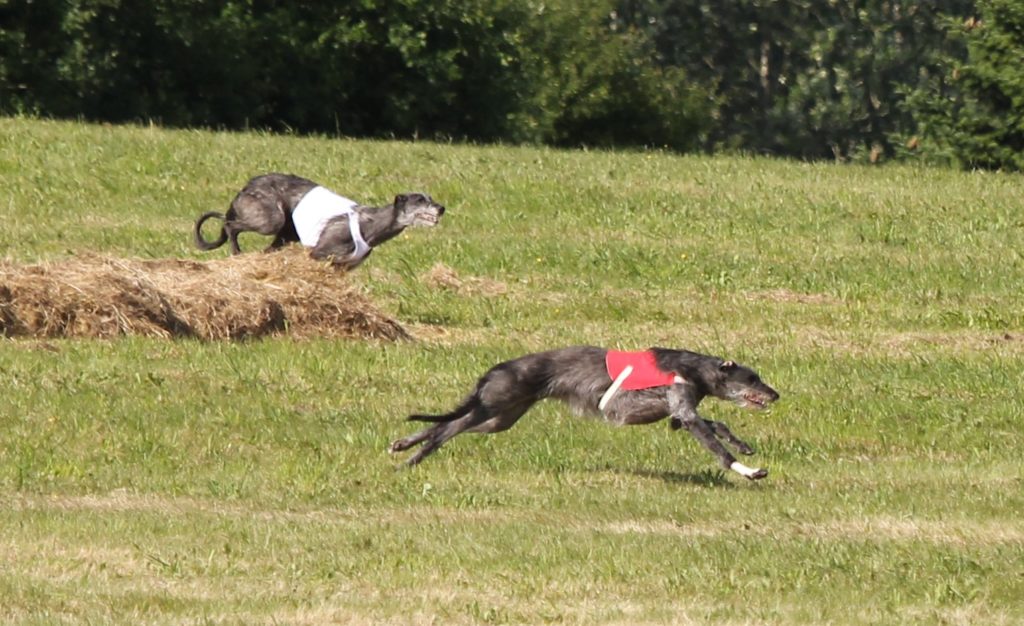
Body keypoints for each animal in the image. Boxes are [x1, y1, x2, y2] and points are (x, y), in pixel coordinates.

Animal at [195, 173, 444, 268]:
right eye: (420, 199)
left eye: (430, 198)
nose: (442, 208)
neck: (369, 223)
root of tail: (248, 185)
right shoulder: (320, 252)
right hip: (271, 219)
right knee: (231, 225)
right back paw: (236, 252)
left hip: (285, 234)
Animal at [387, 348, 778, 479]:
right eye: (753, 378)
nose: (776, 393)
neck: (693, 368)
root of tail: (498, 368)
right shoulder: (684, 409)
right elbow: (717, 450)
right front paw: (749, 471)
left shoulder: (679, 414)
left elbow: (717, 423)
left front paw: (743, 446)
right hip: (495, 404)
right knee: (445, 429)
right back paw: (412, 460)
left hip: (500, 418)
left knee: (449, 424)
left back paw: (402, 444)